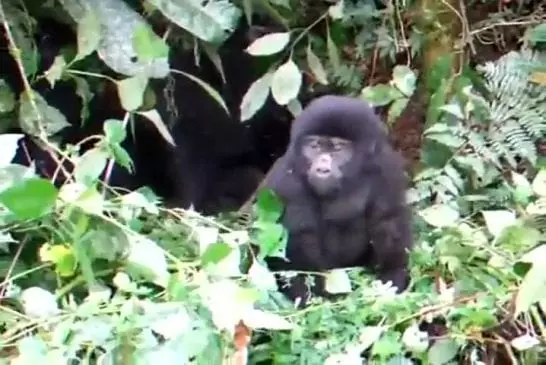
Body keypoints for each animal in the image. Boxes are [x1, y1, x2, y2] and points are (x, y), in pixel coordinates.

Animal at [262, 94, 410, 304]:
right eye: (314, 146)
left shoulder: (387, 169)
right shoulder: (283, 181)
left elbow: (389, 222)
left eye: (338, 148)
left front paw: (392, 276)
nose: (322, 166)